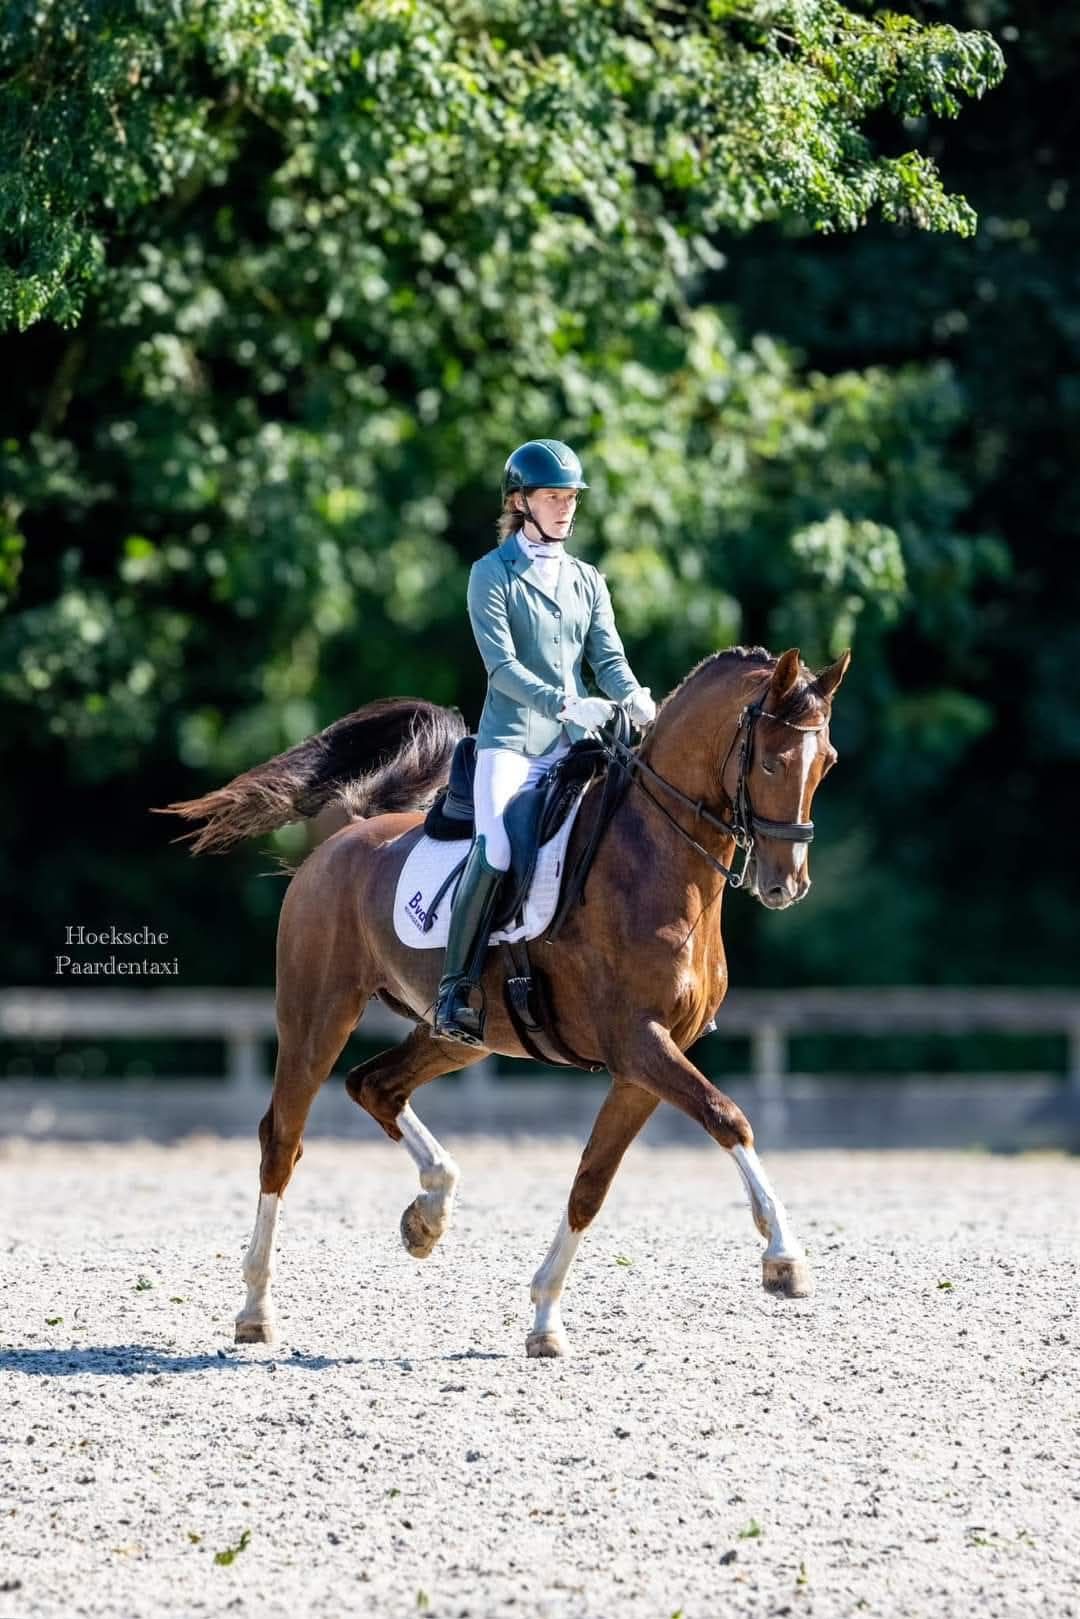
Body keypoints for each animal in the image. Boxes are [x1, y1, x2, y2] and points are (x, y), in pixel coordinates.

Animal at [157, 643, 850, 1357]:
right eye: (770, 761)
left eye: (825, 762)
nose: (786, 885)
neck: (655, 863)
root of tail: (347, 835)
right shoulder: (640, 1045)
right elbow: (728, 1117)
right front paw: (785, 1258)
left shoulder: (645, 1065)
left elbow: (591, 1184)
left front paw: (545, 1318)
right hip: (317, 1017)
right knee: (283, 1140)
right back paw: (256, 1308)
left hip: (459, 1035)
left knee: (374, 1086)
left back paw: (429, 1214)